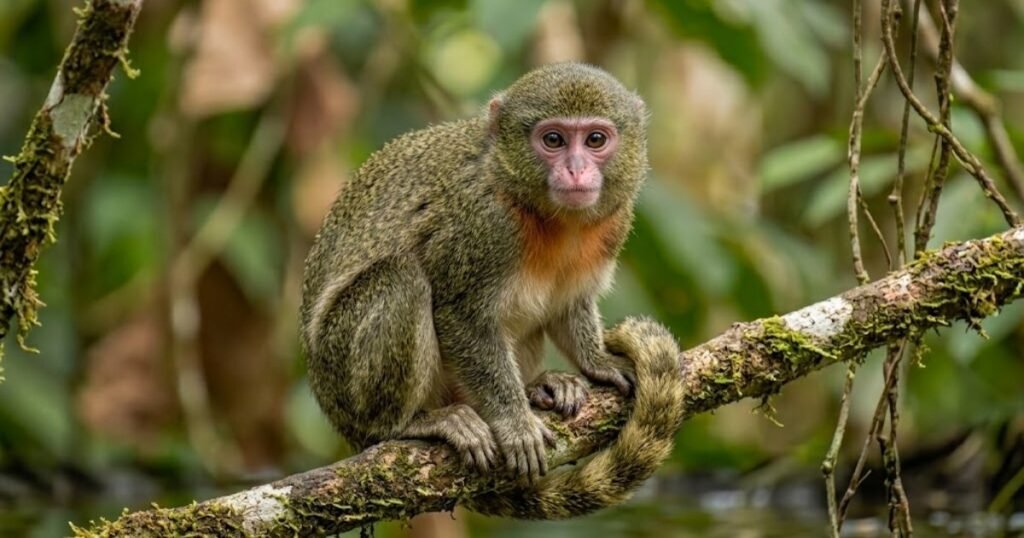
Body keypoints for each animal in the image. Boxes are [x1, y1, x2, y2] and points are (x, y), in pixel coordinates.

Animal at [300, 62, 686, 518]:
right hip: (343, 373)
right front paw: (514, 422)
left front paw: (598, 362)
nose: (576, 170)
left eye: (595, 140)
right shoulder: (485, 221)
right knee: (401, 278)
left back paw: (541, 387)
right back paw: (407, 424)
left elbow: (569, 304)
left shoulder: (616, 220)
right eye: (553, 140)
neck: (546, 215)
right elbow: (459, 314)